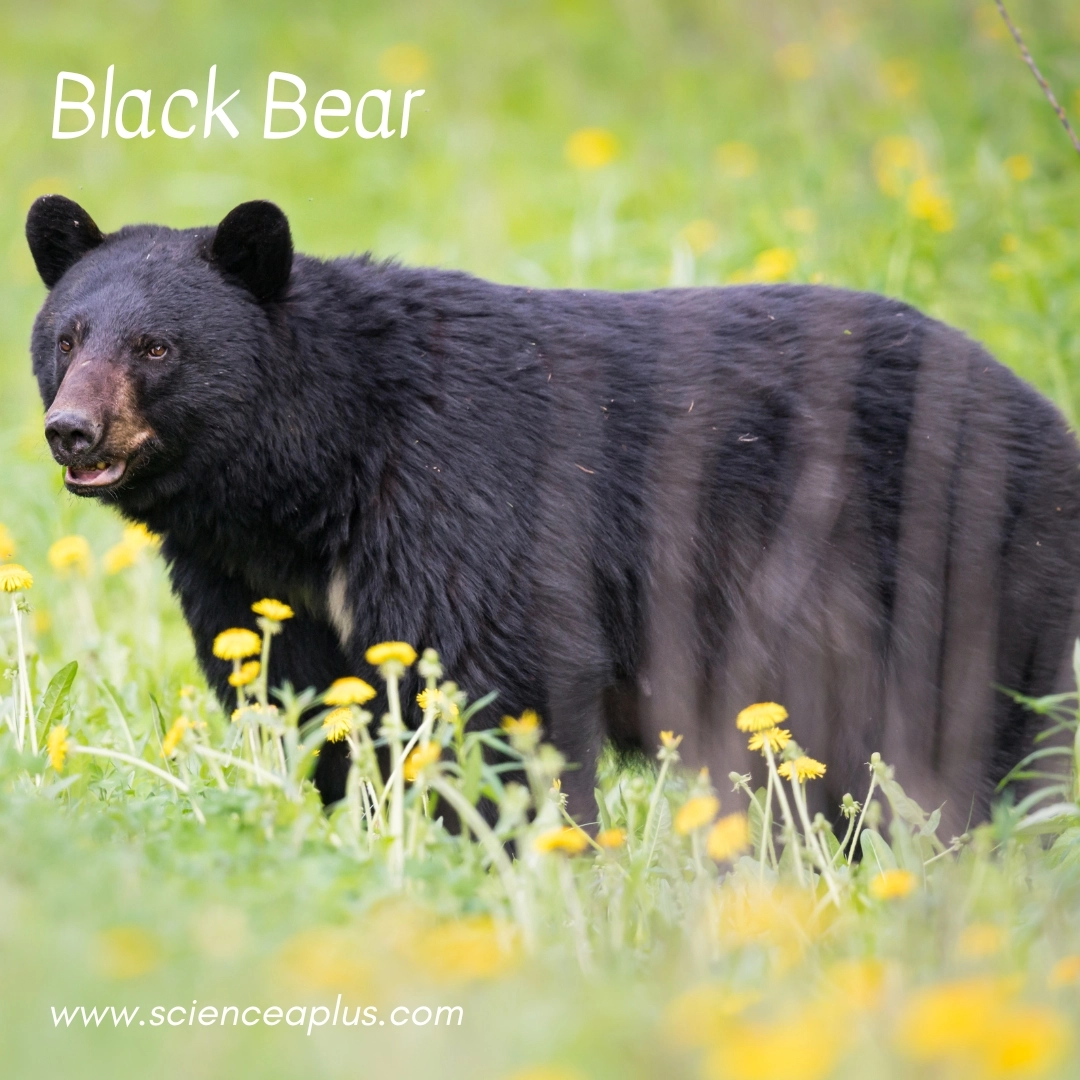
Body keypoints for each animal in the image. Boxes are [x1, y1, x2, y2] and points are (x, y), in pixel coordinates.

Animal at [25, 194, 1080, 828]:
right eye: (67, 336)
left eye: (156, 347)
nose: (72, 430)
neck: (316, 473)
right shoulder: (250, 578)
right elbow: (307, 697)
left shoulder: (462, 493)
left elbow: (503, 680)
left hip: (975, 567)